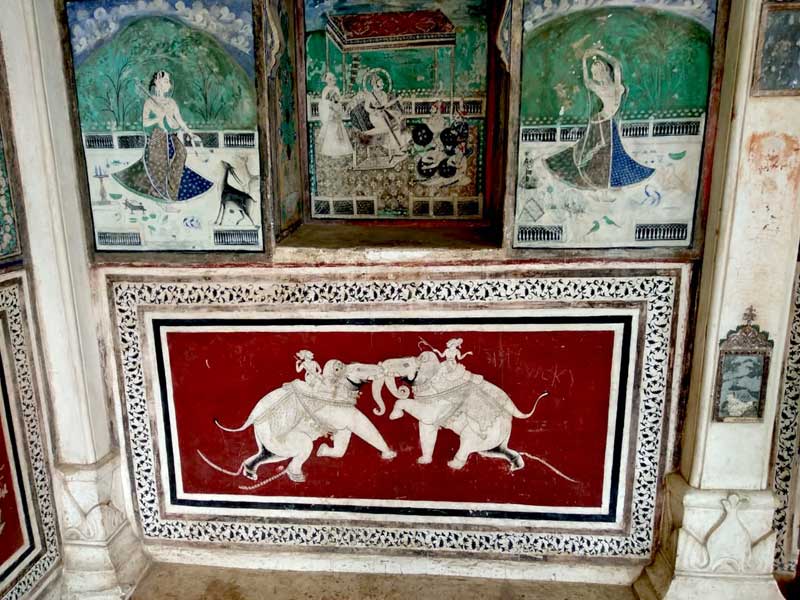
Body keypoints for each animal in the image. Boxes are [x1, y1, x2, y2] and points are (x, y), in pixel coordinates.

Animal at [214, 359, 396, 483]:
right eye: (358, 368)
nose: (381, 368)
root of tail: (252, 418)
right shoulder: (337, 410)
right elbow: (361, 424)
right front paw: (390, 455)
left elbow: (343, 439)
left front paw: (322, 451)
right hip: (275, 435)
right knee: (304, 445)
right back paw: (296, 476)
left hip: (266, 439)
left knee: (270, 454)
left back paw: (251, 473)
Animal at [378, 352, 547, 471]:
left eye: (406, 364)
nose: (380, 365)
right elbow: (426, 429)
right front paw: (423, 461)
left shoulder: (442, 401)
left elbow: (427, 416)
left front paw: (394, 416)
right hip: (496, 440)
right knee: (493, 451)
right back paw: (515, 467)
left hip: (484, 432)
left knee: (467, 441)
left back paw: (453, 465)